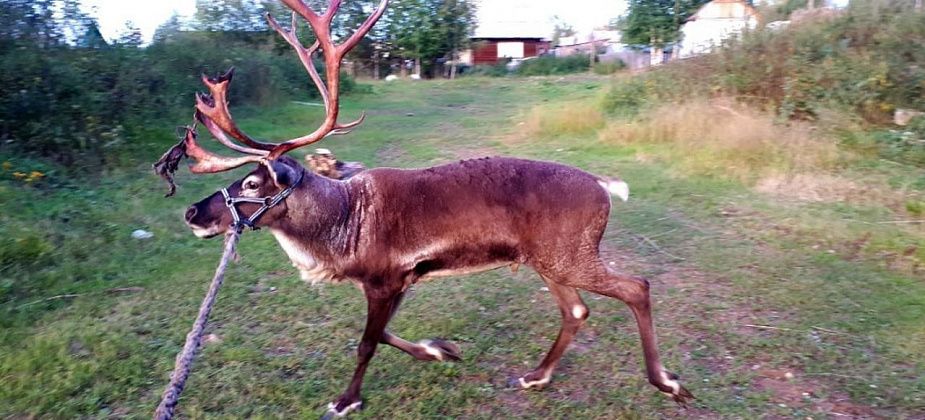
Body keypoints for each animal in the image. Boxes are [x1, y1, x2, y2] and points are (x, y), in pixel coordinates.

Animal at [154, 0, 693, 418]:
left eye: (250, 181)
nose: (193, 214)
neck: (341, 224)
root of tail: (604, 187)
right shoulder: (401, 279)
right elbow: (386, 334)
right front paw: (440, 350)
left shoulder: (383, 279)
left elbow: (367, 341)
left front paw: (346, 400)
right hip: (545, 260)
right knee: (577, 309)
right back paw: (536, 376)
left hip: (570, 254)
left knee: (637, 287)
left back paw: (666, 382)